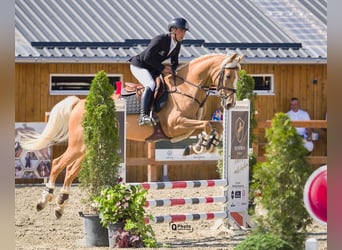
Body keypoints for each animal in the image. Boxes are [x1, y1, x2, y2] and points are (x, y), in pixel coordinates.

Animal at [19, 51, 243, 218]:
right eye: (228, 76)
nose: (230, 103)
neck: (186, 88)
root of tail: (80, 103)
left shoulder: (184, 128)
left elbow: (215, 126)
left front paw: (202, 145)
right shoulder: (175, 126)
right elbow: (207, 125)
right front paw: (201, 145)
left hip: (88, 147)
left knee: (71, 169)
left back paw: (60, 205)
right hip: (79, 145)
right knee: (58, 163)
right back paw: (44, 200)